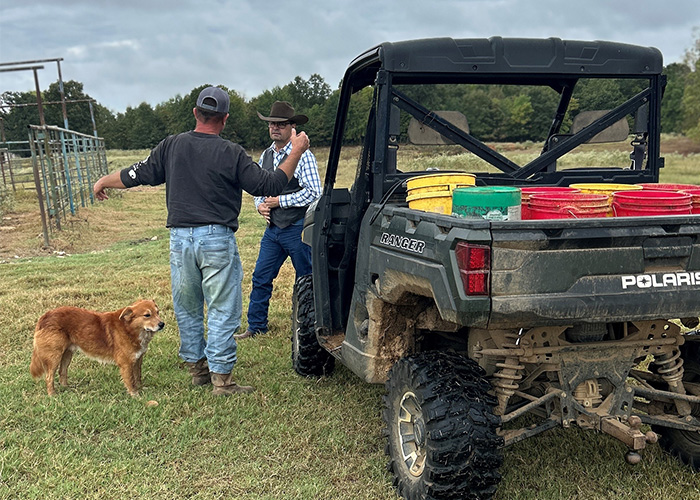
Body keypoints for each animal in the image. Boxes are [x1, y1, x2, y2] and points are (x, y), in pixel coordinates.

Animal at [29, 298, 164, 396]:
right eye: (147, 315)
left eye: (158, 312)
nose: (162, 324)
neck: (129, 328)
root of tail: (45, 316)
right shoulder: (126, 363)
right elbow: (130, 381)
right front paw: (135, 395)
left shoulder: (137, 359)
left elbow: (137, 377)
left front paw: (141, 389)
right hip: (54, 357)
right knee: (49, 377)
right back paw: (52, 394)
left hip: (67, 354)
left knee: (62, 372)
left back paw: (66, 388)